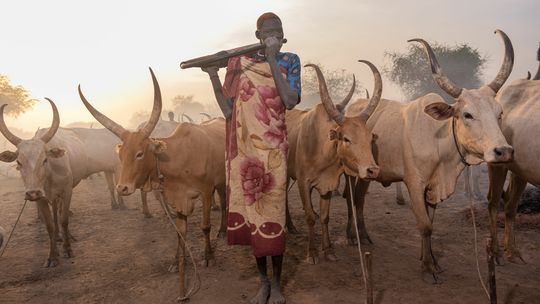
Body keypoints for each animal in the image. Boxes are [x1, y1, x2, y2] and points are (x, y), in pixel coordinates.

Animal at [77, 67, 226, 298]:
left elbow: (205, 226)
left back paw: (224, 231)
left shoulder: (206, 191)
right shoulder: (178, 199)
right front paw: (175, 262)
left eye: (140, 153)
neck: (179, 157)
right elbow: (179, 233)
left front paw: (208, 256)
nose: (122, 188)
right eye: (121, 155)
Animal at [346, 29, 516, 282]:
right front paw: (427, 268)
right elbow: (425, 225)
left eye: (499, 113)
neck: (438, 142)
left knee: (358, 198)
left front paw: (431, 259)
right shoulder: (415, 184)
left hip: (368, 173)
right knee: (350, 198)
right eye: (467, 114)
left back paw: (364, 235)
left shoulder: (433, 188)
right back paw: (351, 235)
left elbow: (430, 222)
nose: (503, 151)